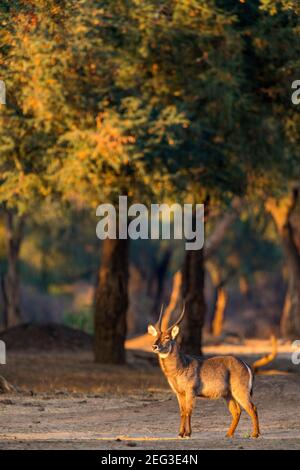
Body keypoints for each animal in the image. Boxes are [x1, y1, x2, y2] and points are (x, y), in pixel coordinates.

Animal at [148, 306, 260, 438]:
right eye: (155, 336)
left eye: (167, 337)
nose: (154, 346)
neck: (181, 366)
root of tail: (245, 364)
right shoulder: (179, 393)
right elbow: (182, 412)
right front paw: (180, 433)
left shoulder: (190, 391)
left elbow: (189, 411)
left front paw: (188, 433)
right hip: (228, 394)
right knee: (237, 411)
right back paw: (228, 434)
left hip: (240, 391)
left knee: (252, 408)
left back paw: (255, 434)